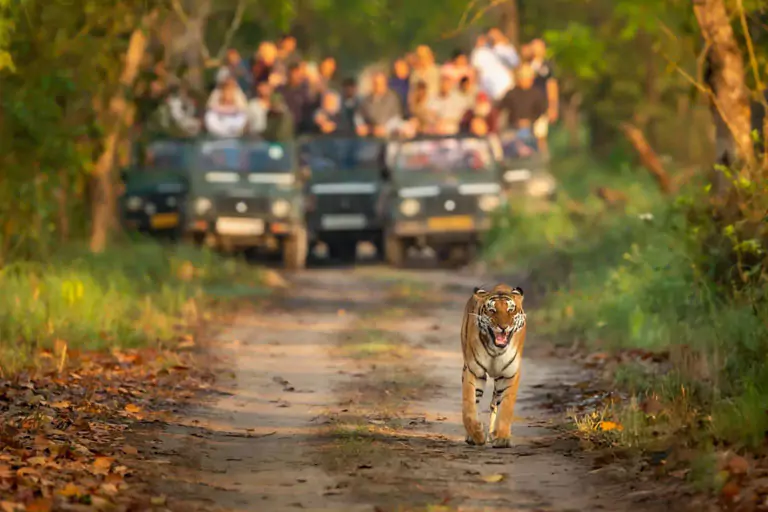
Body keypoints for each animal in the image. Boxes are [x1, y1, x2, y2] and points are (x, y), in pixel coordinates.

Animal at [460, 284, 524, 448]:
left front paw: (501, 437)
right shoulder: (474, 371)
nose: (503, 327)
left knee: (495, 404)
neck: (496, 349)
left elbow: (506, 406)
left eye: (510, 310)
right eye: (492, 310)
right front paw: (476, 434)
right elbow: (469, 405)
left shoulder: (510, 374)